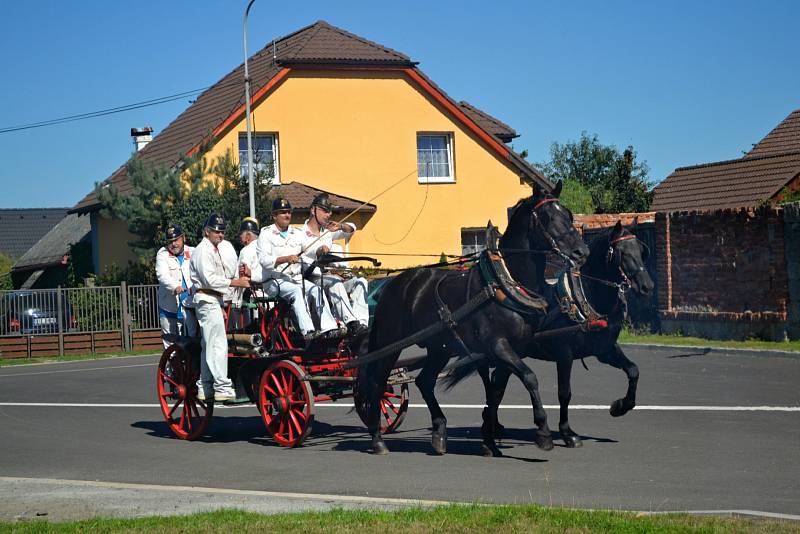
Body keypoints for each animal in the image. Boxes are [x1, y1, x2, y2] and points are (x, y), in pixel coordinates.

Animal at [354, 182, 588, 454]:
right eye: (549, 217)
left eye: (569, 215)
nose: (582, 252)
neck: (505, 282)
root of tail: (392, 284)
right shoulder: (498, 346)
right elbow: (529, 378)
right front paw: (543, 432)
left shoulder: (511, 350)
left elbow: (496, 392)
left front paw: (489, 439)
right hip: (390, 343)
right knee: (377, 382)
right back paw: (377, 439)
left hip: (440, 347)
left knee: (424, 381)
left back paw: (439, 432)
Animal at [444, 220, 656, 454]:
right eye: (622, 252)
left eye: (641, 251)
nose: (647, 286)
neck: (584, 297)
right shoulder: (564, 354)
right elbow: (565, 393)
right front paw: (568, 433)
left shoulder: (605, 350)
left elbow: (633, 371)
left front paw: (620, 406)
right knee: (494, 384)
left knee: (497, 385)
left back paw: (493, 425)